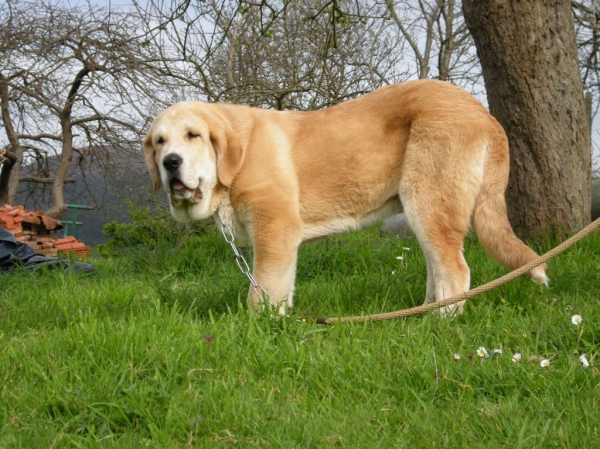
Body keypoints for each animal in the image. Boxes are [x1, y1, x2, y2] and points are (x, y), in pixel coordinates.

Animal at [145, 79, 548, 314]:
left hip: (430, 204)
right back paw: (420, 315)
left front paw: (259, 327)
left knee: (455, 272)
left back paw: (439, 322)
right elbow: (281, 287)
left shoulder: (275, 230)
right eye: (160, 142)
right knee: (439, 269)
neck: (236, 161)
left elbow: (262, 291)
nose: (170, 162)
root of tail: (485, 114)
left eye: (193, 135)